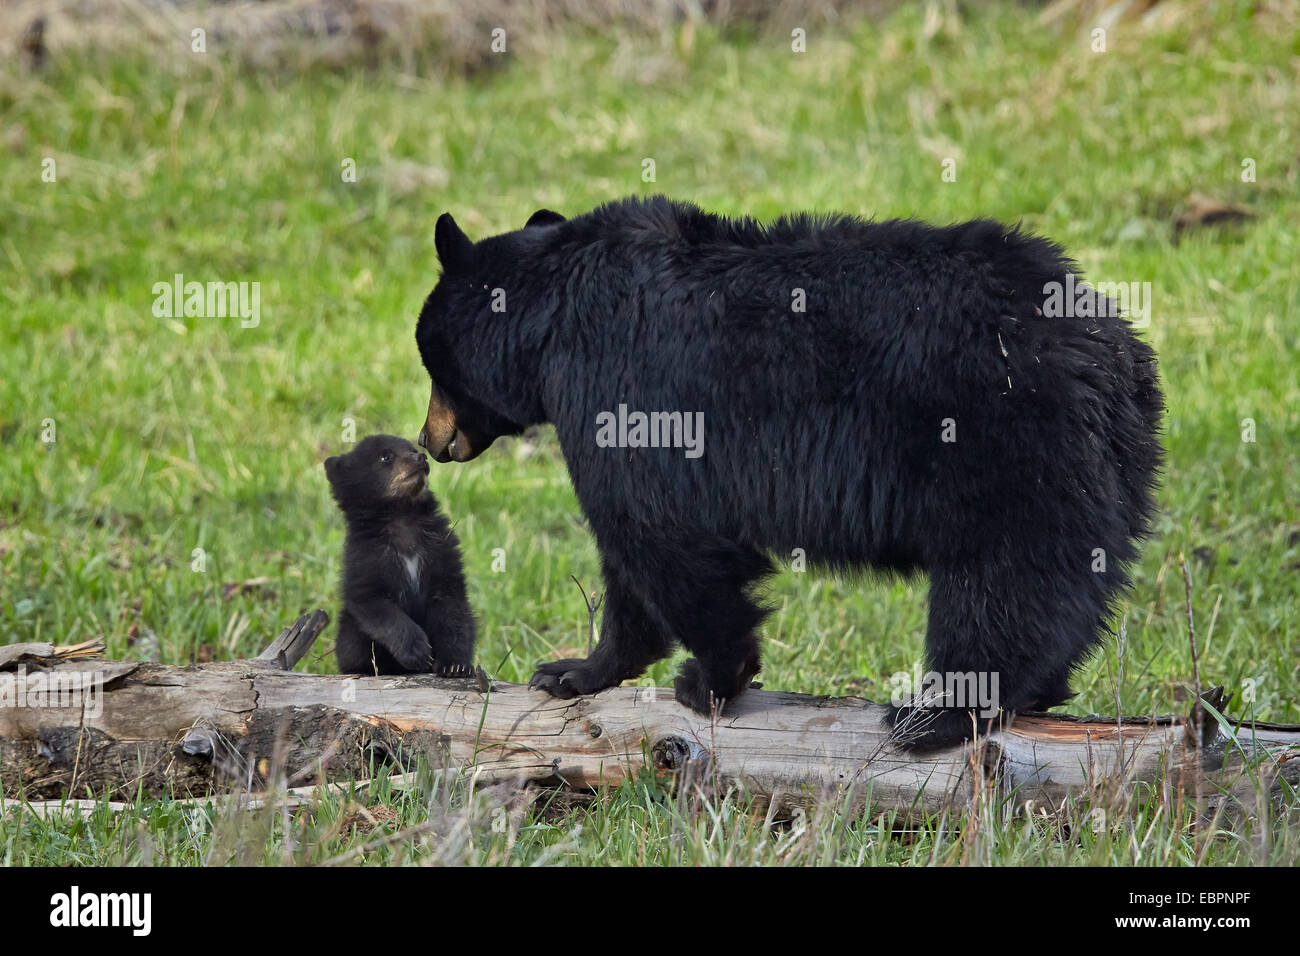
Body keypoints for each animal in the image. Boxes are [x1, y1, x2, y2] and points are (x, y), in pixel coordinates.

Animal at [325, 434, 476, 677]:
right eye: (385, 456)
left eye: (411, 448)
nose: (421, 457)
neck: (402, 516)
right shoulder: (366, 558)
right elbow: (375, 604)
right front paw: (418, 651)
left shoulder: (441, 550)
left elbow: (452, 609)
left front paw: (456, 665)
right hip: (349, 628)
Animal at [413, 196, 1163, 750]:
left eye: (431, 364)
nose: (428, 440)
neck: (552, 317)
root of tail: (1110, 352)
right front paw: (575, 671)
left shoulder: (621, 392)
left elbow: (659, 533)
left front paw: (710, 678)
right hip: (1114, 467)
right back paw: (1037, 690)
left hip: (1005, 442)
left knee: (1002, 580)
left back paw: (934, 713)